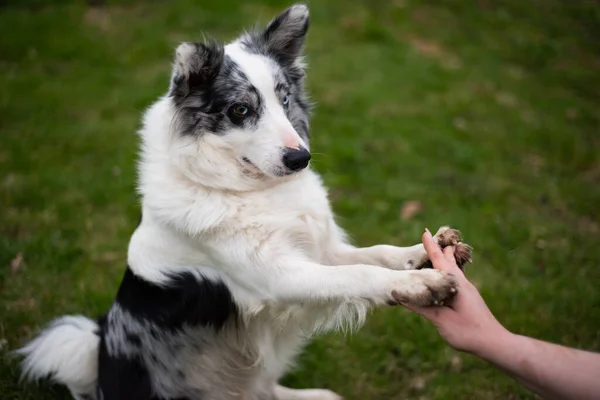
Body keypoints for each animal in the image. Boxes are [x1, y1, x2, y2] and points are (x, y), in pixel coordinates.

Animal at [16, 3, 472, 400]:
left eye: (284, 99)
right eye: (240, 110)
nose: (300, 158)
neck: (252, 191)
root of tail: (98, 376)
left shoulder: (318, 251)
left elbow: (376, 254)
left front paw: (427, 251)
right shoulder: (282, 277)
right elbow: (360, 274)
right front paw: (422, 284)